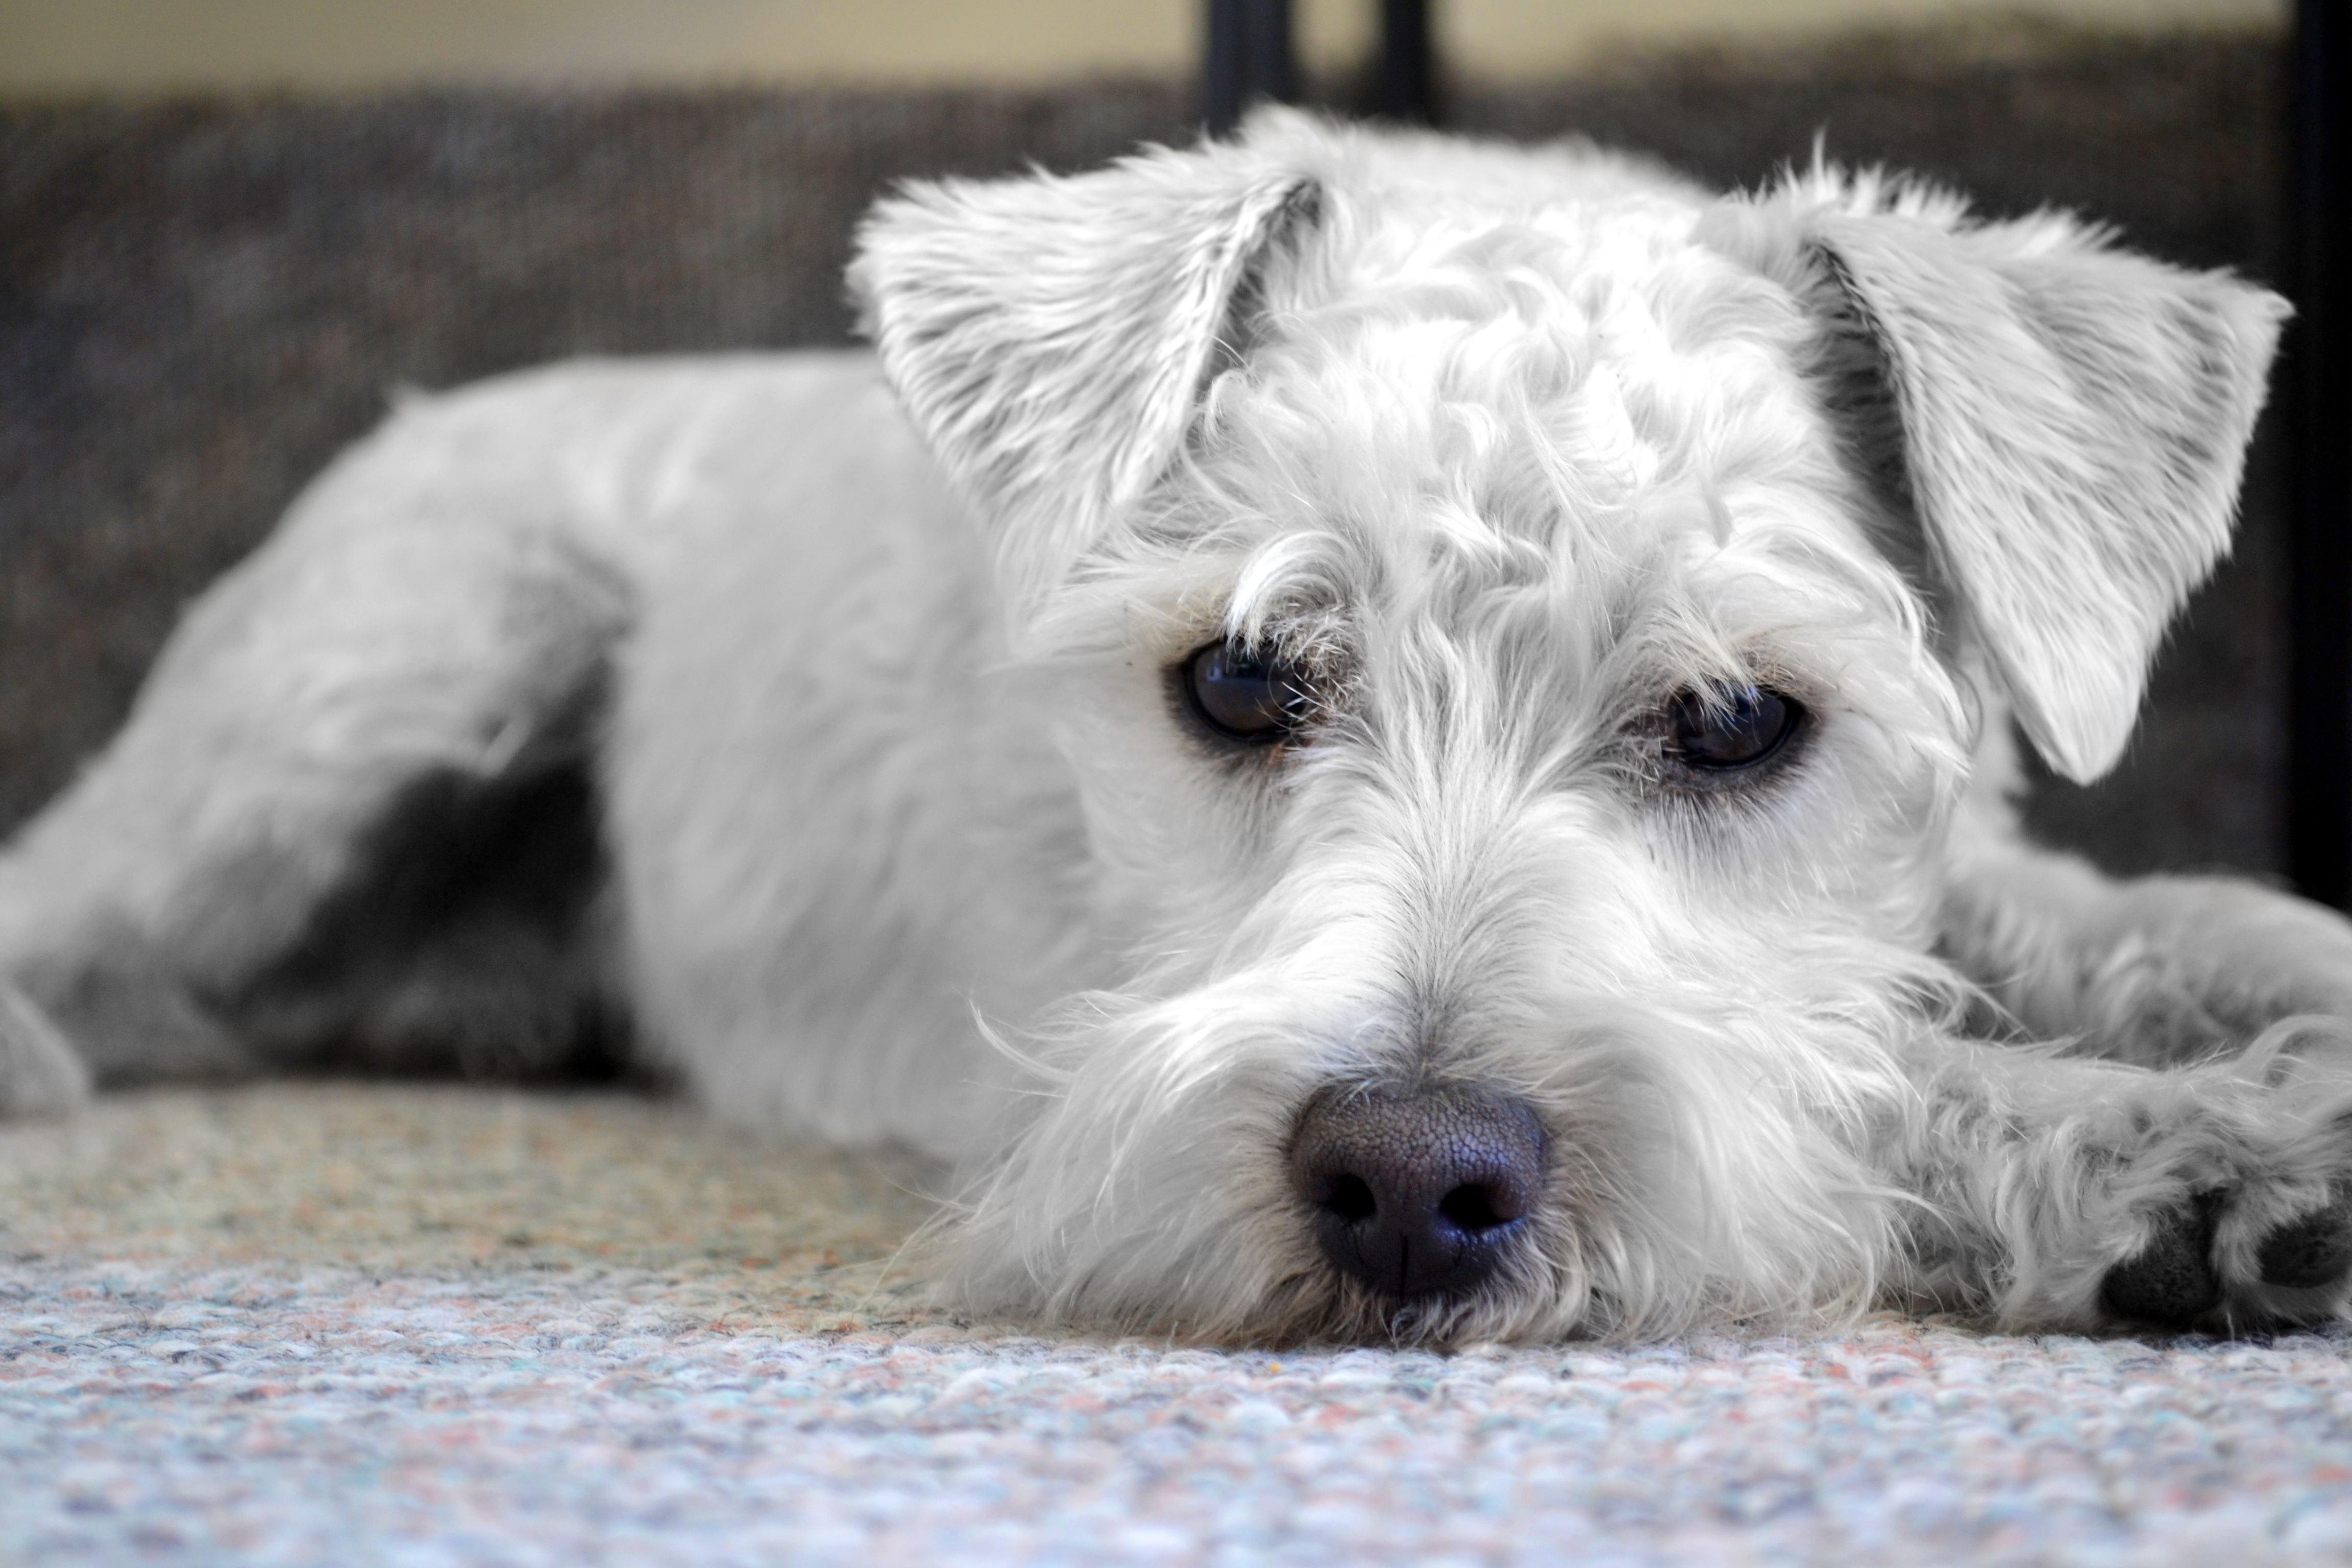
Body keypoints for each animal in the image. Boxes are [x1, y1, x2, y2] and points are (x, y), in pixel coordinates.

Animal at [5, 110, 2352, 1344]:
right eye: (1234, 676)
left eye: (1731, 716)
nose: (1407, 1186)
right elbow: (1883, 1086)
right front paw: (2192, 1156)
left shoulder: (1959, 883)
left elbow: (2159, 927)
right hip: (366, 691)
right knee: (79, 904)